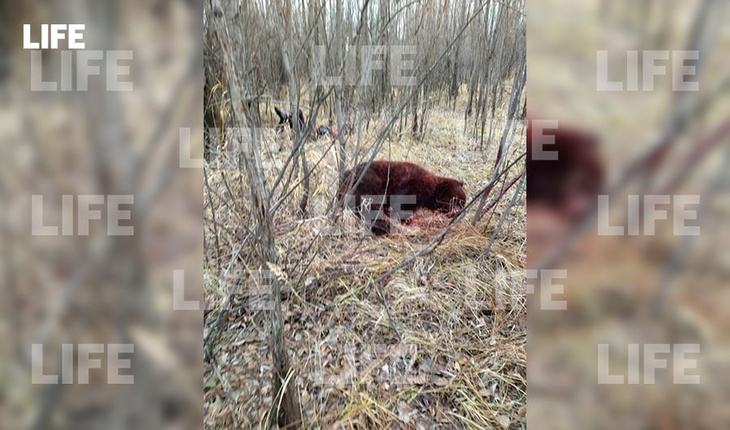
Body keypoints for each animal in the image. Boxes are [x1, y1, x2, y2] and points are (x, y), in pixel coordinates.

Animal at [338, 160, 467, 235]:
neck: (433, 189)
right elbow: (401, 202)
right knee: (371, 208)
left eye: (463, 203)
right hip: (368, 183)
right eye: (458, 201)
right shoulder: (414, 185)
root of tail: (347, 175)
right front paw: (404, 219)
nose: (459, 212)